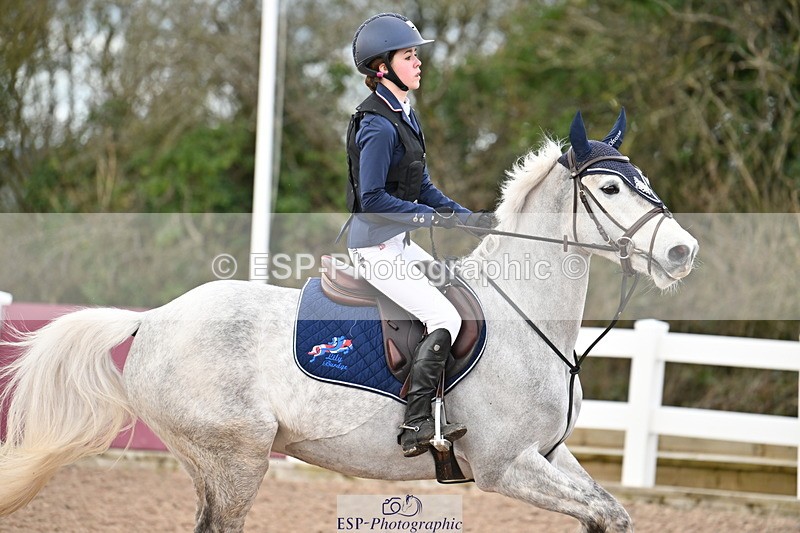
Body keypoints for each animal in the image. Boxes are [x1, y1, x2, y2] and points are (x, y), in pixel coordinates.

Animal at [0, 110, 698, 532]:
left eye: (641, 178)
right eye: (610, 189)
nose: (680, 252)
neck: (524, 318)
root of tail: (153, 321)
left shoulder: (551, 456)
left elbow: (609, 513)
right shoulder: (507, 466)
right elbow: (603, 512)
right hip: (235, 459)